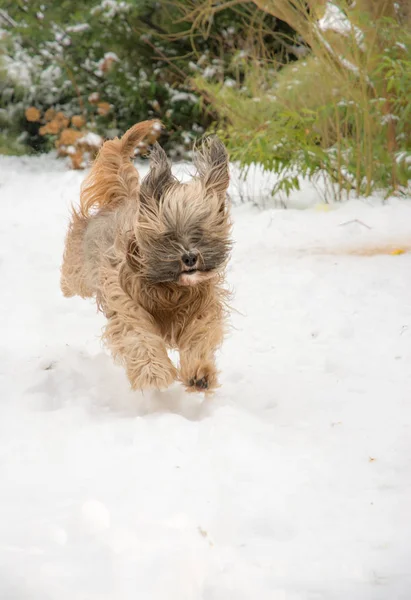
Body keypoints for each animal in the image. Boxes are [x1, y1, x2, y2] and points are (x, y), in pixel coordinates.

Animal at [62, 121, 233, 394]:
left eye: (199, 231)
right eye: (168, 234)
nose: (189, 258)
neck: (169, 288)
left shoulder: (202, 306)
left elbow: (200, 334)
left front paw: (200, 374)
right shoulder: (125, 301)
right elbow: (138, 335)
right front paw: (154, 373)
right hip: (81, 265)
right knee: (72, 276)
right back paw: (65, 286)